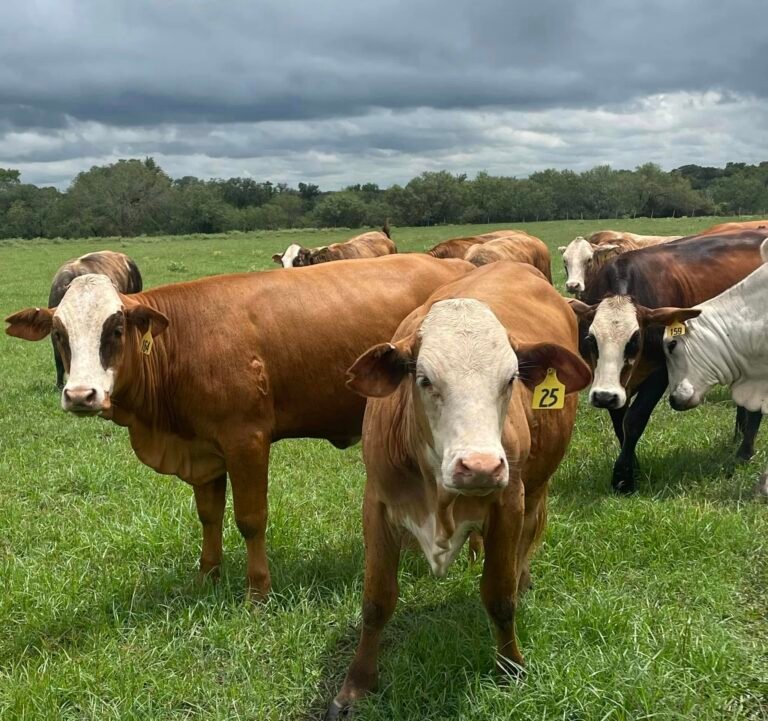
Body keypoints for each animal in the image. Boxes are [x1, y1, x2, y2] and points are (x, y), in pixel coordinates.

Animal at [328, 258, 592, 716]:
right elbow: (376, 601)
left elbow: (500, 596)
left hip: (536, 489)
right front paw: (355, 686)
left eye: (511, 379)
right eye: (425, 379)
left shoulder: (508, 504)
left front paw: (511, 666)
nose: (480, 466)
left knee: (527, 543)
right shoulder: (377, 506)